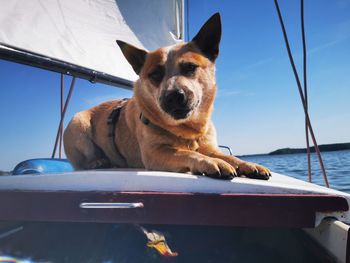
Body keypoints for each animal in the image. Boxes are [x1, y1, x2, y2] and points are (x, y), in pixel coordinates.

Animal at [63, 13, 270, 180]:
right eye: (155, 74)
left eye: (190, 67)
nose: (173, 96)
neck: (188, 131)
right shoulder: (155, 153)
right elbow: (187, 153)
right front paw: (211, 163)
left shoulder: (210, 147)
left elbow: (228, 156)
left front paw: (249, 164)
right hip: (77, 124)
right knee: (83, 160)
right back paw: (98, 162)